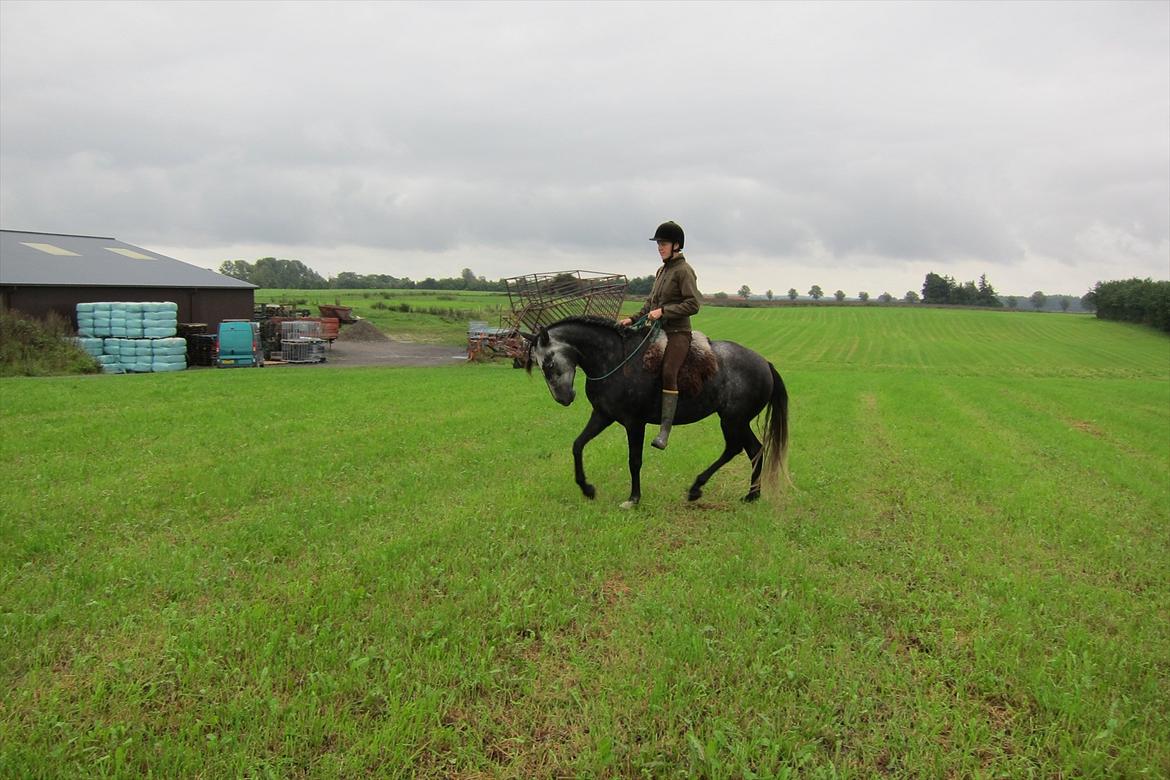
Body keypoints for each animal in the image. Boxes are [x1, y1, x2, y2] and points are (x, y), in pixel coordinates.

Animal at [526, 313, 790, 509]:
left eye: (548, 363)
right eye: (539, 365)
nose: (564, 398)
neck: (617, 360)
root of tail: (765, 363)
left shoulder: (634, 423)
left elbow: (634, 460)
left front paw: (633, 499)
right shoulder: (603, 415)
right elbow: (578, 445)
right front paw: (587, 488)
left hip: (733, 420)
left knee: (737, 449)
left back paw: (699, 488)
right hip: (737, 421)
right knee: (753, 449)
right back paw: (750, 495)